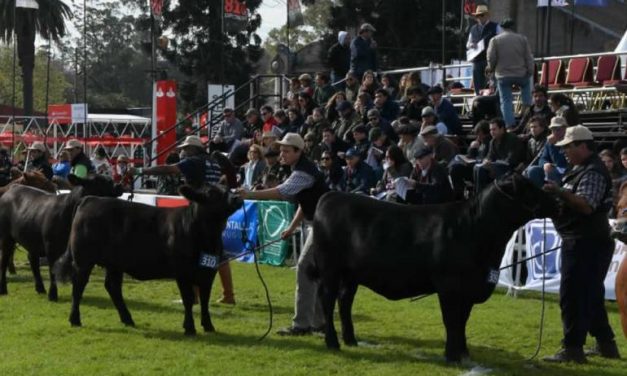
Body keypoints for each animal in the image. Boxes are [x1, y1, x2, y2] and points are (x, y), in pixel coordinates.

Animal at [54, 185, 243, 334]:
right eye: (212, 193)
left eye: (228, 188)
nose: (237, 197)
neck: (207, 237)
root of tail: (90, 199)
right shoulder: (182, 272)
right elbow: (189, 299)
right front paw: (189, 328)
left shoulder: (208, 272)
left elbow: (204, 300)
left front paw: (208, 326)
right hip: (84, 260)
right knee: (78, 286)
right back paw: (75, 320)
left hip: (114, 263)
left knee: (112, 287)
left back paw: (128, 319)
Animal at [310, 173, 560, 362]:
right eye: (528, 188)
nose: (558, 203)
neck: (475, 229)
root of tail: (331, 195)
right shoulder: (449, 285)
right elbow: (451, 320)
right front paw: (452, 356)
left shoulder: (469, 289)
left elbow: (462, 321)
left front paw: (463, 353)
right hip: (330, 269)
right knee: (327, 300)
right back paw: (333, 342)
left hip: (351, 275)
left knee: (344, 301)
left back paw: (350, 339)